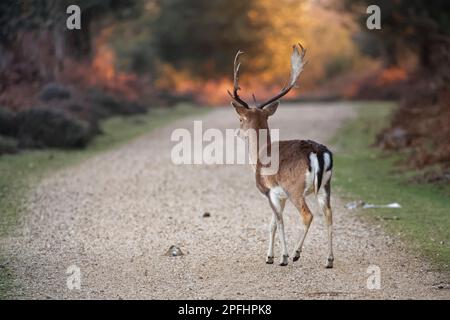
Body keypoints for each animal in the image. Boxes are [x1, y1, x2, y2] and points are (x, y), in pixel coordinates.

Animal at [230, 43, 332, 268]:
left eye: (240, 119)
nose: (237, 133)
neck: (259, 155)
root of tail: (318, 152)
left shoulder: (269, 191)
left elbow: (279, 222)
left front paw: (282, 257)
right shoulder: (279, 195)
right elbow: (272, 224)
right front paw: (269, 257)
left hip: (295, 188)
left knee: (308, 215)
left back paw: (295, 254)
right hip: (326, 186)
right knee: (329, 214)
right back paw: (329, 260)